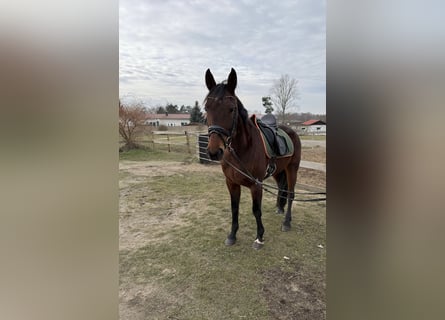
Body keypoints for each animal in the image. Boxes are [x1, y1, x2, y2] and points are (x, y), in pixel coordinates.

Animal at [203, 68, 300, 250]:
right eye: (206, 108)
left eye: (231, 109)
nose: (214, 152)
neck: (242, 149)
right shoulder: (231, 183)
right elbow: (234, 208)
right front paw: (232, 235)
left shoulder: (256, 184)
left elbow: (256, 210)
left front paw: (259, 237)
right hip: (278, 171)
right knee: (282, 188)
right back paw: (280, 208)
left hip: (292, 169)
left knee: (291, 193)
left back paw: (287, 222)